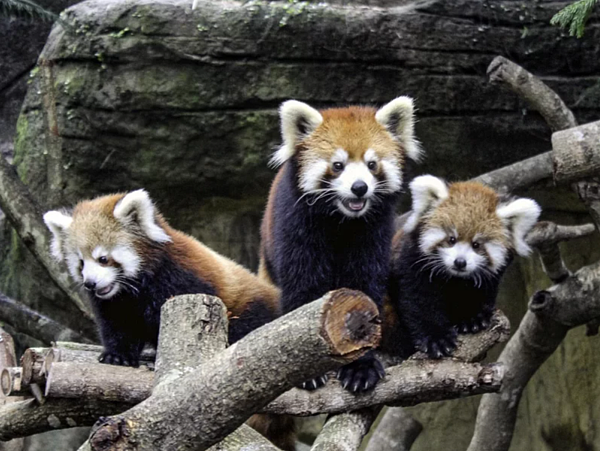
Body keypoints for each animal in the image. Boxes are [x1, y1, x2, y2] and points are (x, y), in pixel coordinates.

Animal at [258, 97, 422, 394]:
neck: (342, 221)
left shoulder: (372, 234)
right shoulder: (296, 228)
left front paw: (360, 367)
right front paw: (306, 370)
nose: (359, 188)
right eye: (337, 165)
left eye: (372, 164)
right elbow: (303, 289)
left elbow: (364, 290)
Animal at [386, 177, 540, 360]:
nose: (460, 262)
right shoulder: (411, 262)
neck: (454, 278)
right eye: (451, 239)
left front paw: (471, 318)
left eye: (476, 245)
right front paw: (436, 338)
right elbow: (419, 299)